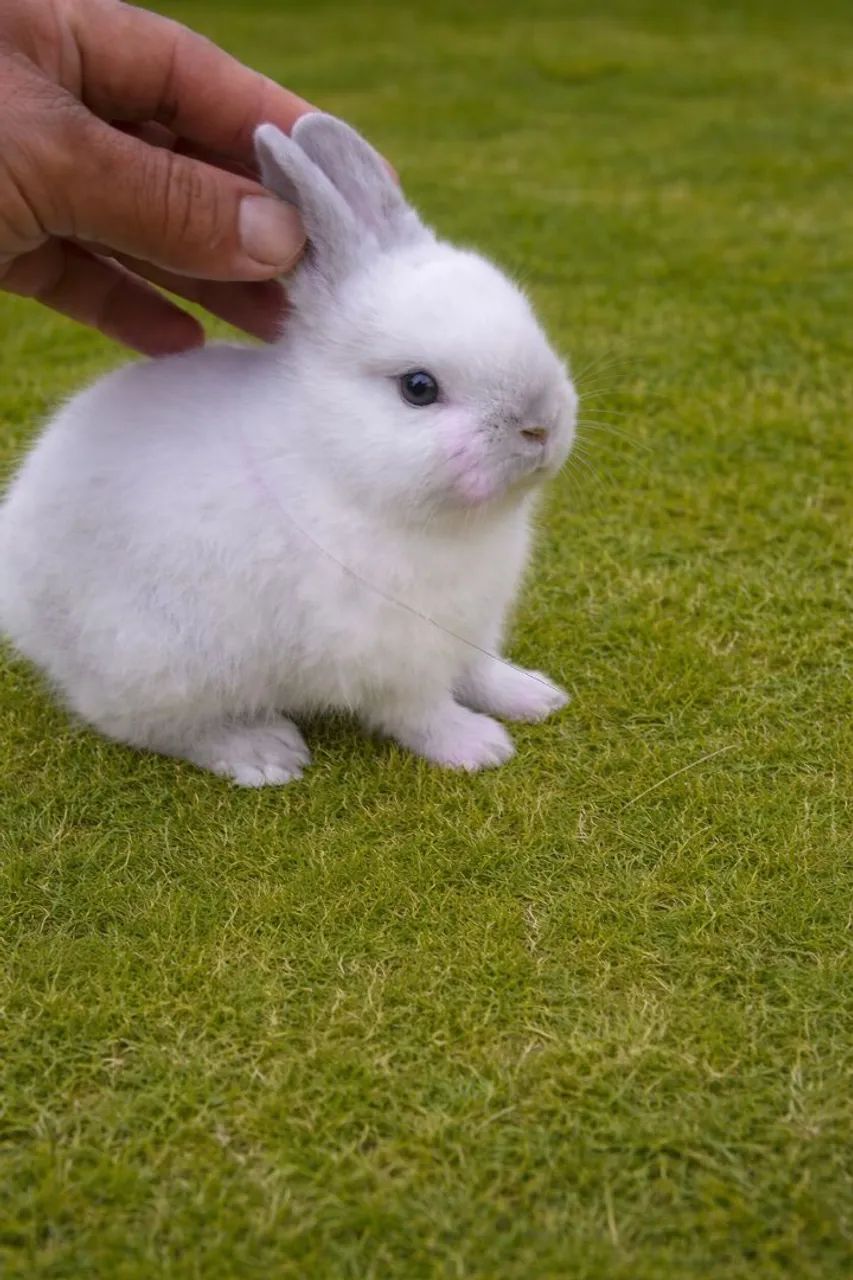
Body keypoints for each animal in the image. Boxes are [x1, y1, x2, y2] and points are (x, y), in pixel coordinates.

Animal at [0, 112, 578, 786]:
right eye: (419, 388)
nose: (541, 424)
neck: (340, 466)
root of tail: (21, 599)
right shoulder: (386, 652)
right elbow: (421, 709)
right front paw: (479, 747)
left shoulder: (468, 626)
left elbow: (479, 668)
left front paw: (534, 696)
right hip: (157, 663)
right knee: (145, 725)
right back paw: (263, 752)